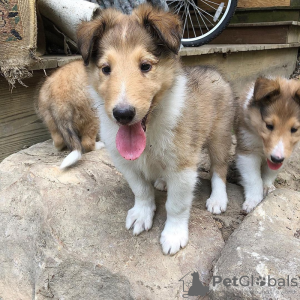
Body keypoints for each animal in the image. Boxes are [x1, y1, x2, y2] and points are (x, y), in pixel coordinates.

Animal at [76, 3, 236, 254]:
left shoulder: (182, 166)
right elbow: (141, 190)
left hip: (220, 135)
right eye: (106, 69)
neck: (150, 129)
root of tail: (214, 71)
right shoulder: (126, 164)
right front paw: (142, 215)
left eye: (145, 66)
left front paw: (173, 235)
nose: (123, 114)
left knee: (219, 168)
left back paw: (218, 199)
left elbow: (176, 205)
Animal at [236, 77, 300, 213]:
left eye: (294, 129)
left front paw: (267, 187)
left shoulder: (286, 153)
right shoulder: (247, 151)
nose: (276, 158)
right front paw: (253, 201)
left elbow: (270, 173)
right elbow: (253, 178)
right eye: (269, 125)